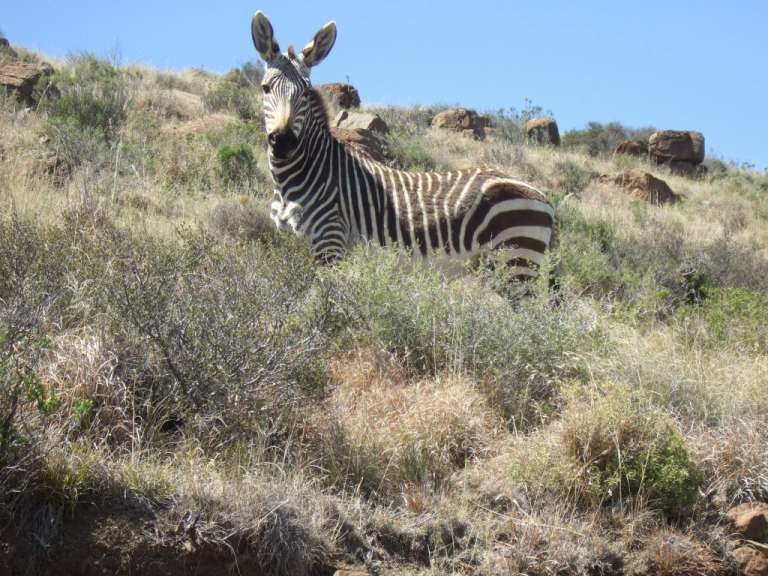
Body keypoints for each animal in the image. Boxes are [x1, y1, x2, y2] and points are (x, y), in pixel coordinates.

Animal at [251, 11, 555, 280]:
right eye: (266, 88)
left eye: (304, 92)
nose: (283, 142)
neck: (300, 176)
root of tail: (542, 196)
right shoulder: (293, 244)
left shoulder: (330, 242)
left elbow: (322, 302)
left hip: (516, 261)